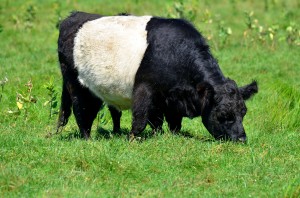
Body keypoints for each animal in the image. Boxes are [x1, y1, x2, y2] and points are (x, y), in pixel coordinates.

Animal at [56, 11, 258, 141]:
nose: (241, 139)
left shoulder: (170, 99)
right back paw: (87, 139)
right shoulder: (145, 89)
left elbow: (170, 123)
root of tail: (73, 16)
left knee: (111, 112)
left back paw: (116, 132)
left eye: (243, 112)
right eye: (223, 114)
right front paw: (132, 140)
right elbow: (140, 118)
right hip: (76, 85)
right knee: (81, 113)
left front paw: (165, 137)